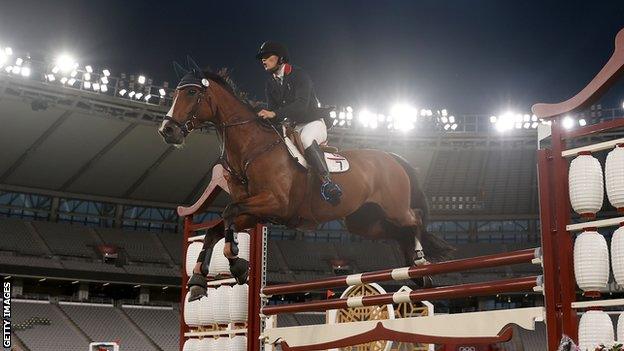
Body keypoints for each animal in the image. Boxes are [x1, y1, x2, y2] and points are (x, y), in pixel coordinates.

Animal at [158, 61, 454, 300]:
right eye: (176, 93)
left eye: (192, 93)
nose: (167, 130)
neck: (252, 148)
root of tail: (393, 157)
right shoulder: (254, 212)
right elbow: (215, 229)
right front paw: (199, 280)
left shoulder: (275, 204)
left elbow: (228, 214)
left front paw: (237, 263)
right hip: (365, 222)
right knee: (400, 232)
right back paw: (417, 272)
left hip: (394, 208)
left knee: (414, 221)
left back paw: (420, 263)